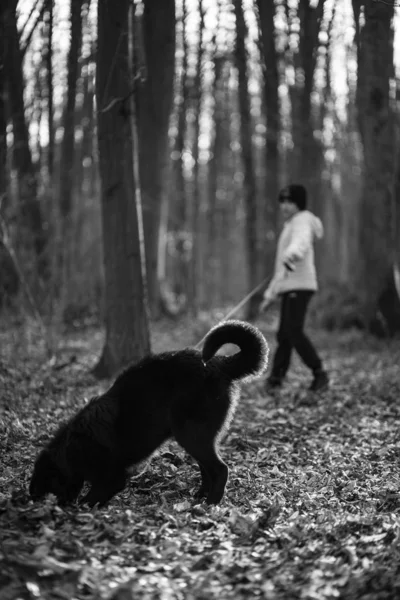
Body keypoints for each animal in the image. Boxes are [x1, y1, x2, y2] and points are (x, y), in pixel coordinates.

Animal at [29, 322, 268, 504]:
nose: (33, 496)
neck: (72, 447)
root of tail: (218, 364)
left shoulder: (113, 477)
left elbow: (93, 497)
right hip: (196, 437)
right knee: (206, 468)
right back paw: (200, 496)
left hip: (191, 434)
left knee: (220, 469)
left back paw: (211, 503)